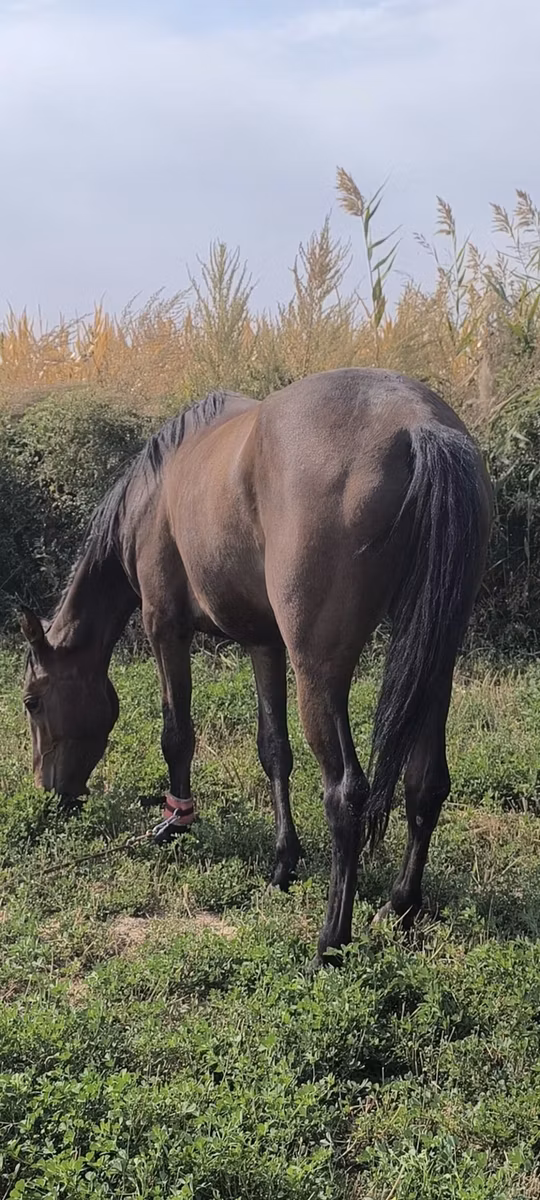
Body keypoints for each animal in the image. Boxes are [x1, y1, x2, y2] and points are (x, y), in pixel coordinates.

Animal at [21, 368, 492, 964]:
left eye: (32, 702)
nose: (49, 794)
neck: (154, 492)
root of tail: (418, 424)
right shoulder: (262, 643)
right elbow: (274, 751)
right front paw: (283, 861)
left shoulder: (164, 627)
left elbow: (177, 734)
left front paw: (178, 820)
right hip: (434, 663)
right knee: (425, 782)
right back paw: (400, 906)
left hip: (319, 670)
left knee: (346, 794)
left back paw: (330, 942)